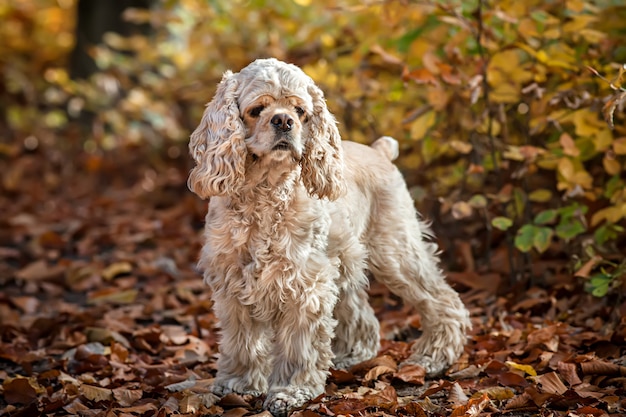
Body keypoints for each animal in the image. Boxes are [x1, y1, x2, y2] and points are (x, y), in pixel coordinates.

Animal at [186, 57, 468, 416]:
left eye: (300, 110)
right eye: (256, 109)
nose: (283, 121)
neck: (266, 190)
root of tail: (379, 151)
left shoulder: (304, 282)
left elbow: (300, 345)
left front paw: (291, 392)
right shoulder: (233, 281)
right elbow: (241, 340)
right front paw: (239, 384)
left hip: (395, 252)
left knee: (442, 300)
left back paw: (433, 357)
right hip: (345, 262)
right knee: (363, 315)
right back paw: (350, 357)